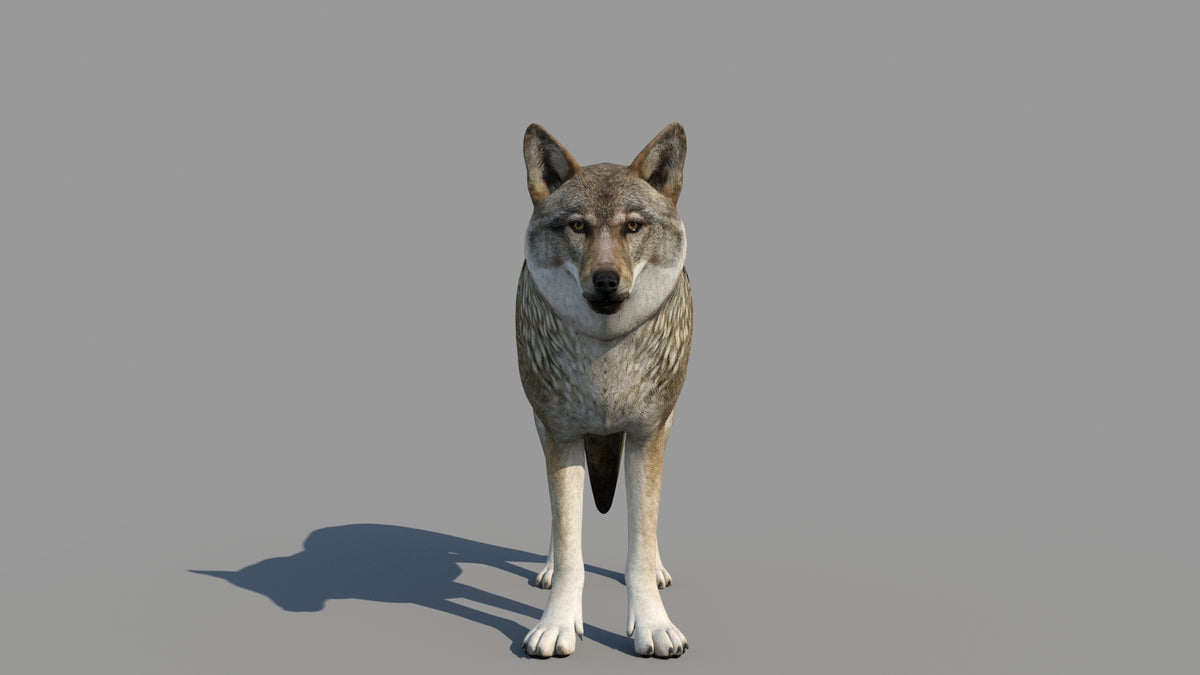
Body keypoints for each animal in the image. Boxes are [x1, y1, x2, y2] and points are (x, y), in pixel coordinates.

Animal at [516, 123, 692, 658]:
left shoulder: (647, 435)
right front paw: (556, 625)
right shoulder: (562, 434)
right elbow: (572, 545)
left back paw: (660, 569)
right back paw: (548, 567)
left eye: (632, 227)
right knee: (560, 524)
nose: (607, 280)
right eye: (578, 226)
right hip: (542, 426)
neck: (606, 355)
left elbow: (639, 542)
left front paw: (654, 625)